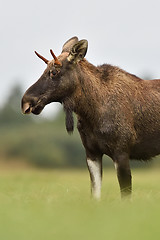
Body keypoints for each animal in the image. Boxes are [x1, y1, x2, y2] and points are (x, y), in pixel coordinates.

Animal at [21, 36, 160, 200]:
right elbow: (95, 194)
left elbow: (125, 195)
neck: (91, 112)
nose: (26, 101)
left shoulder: (121, 151)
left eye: (54, 72)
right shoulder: (92, 153)